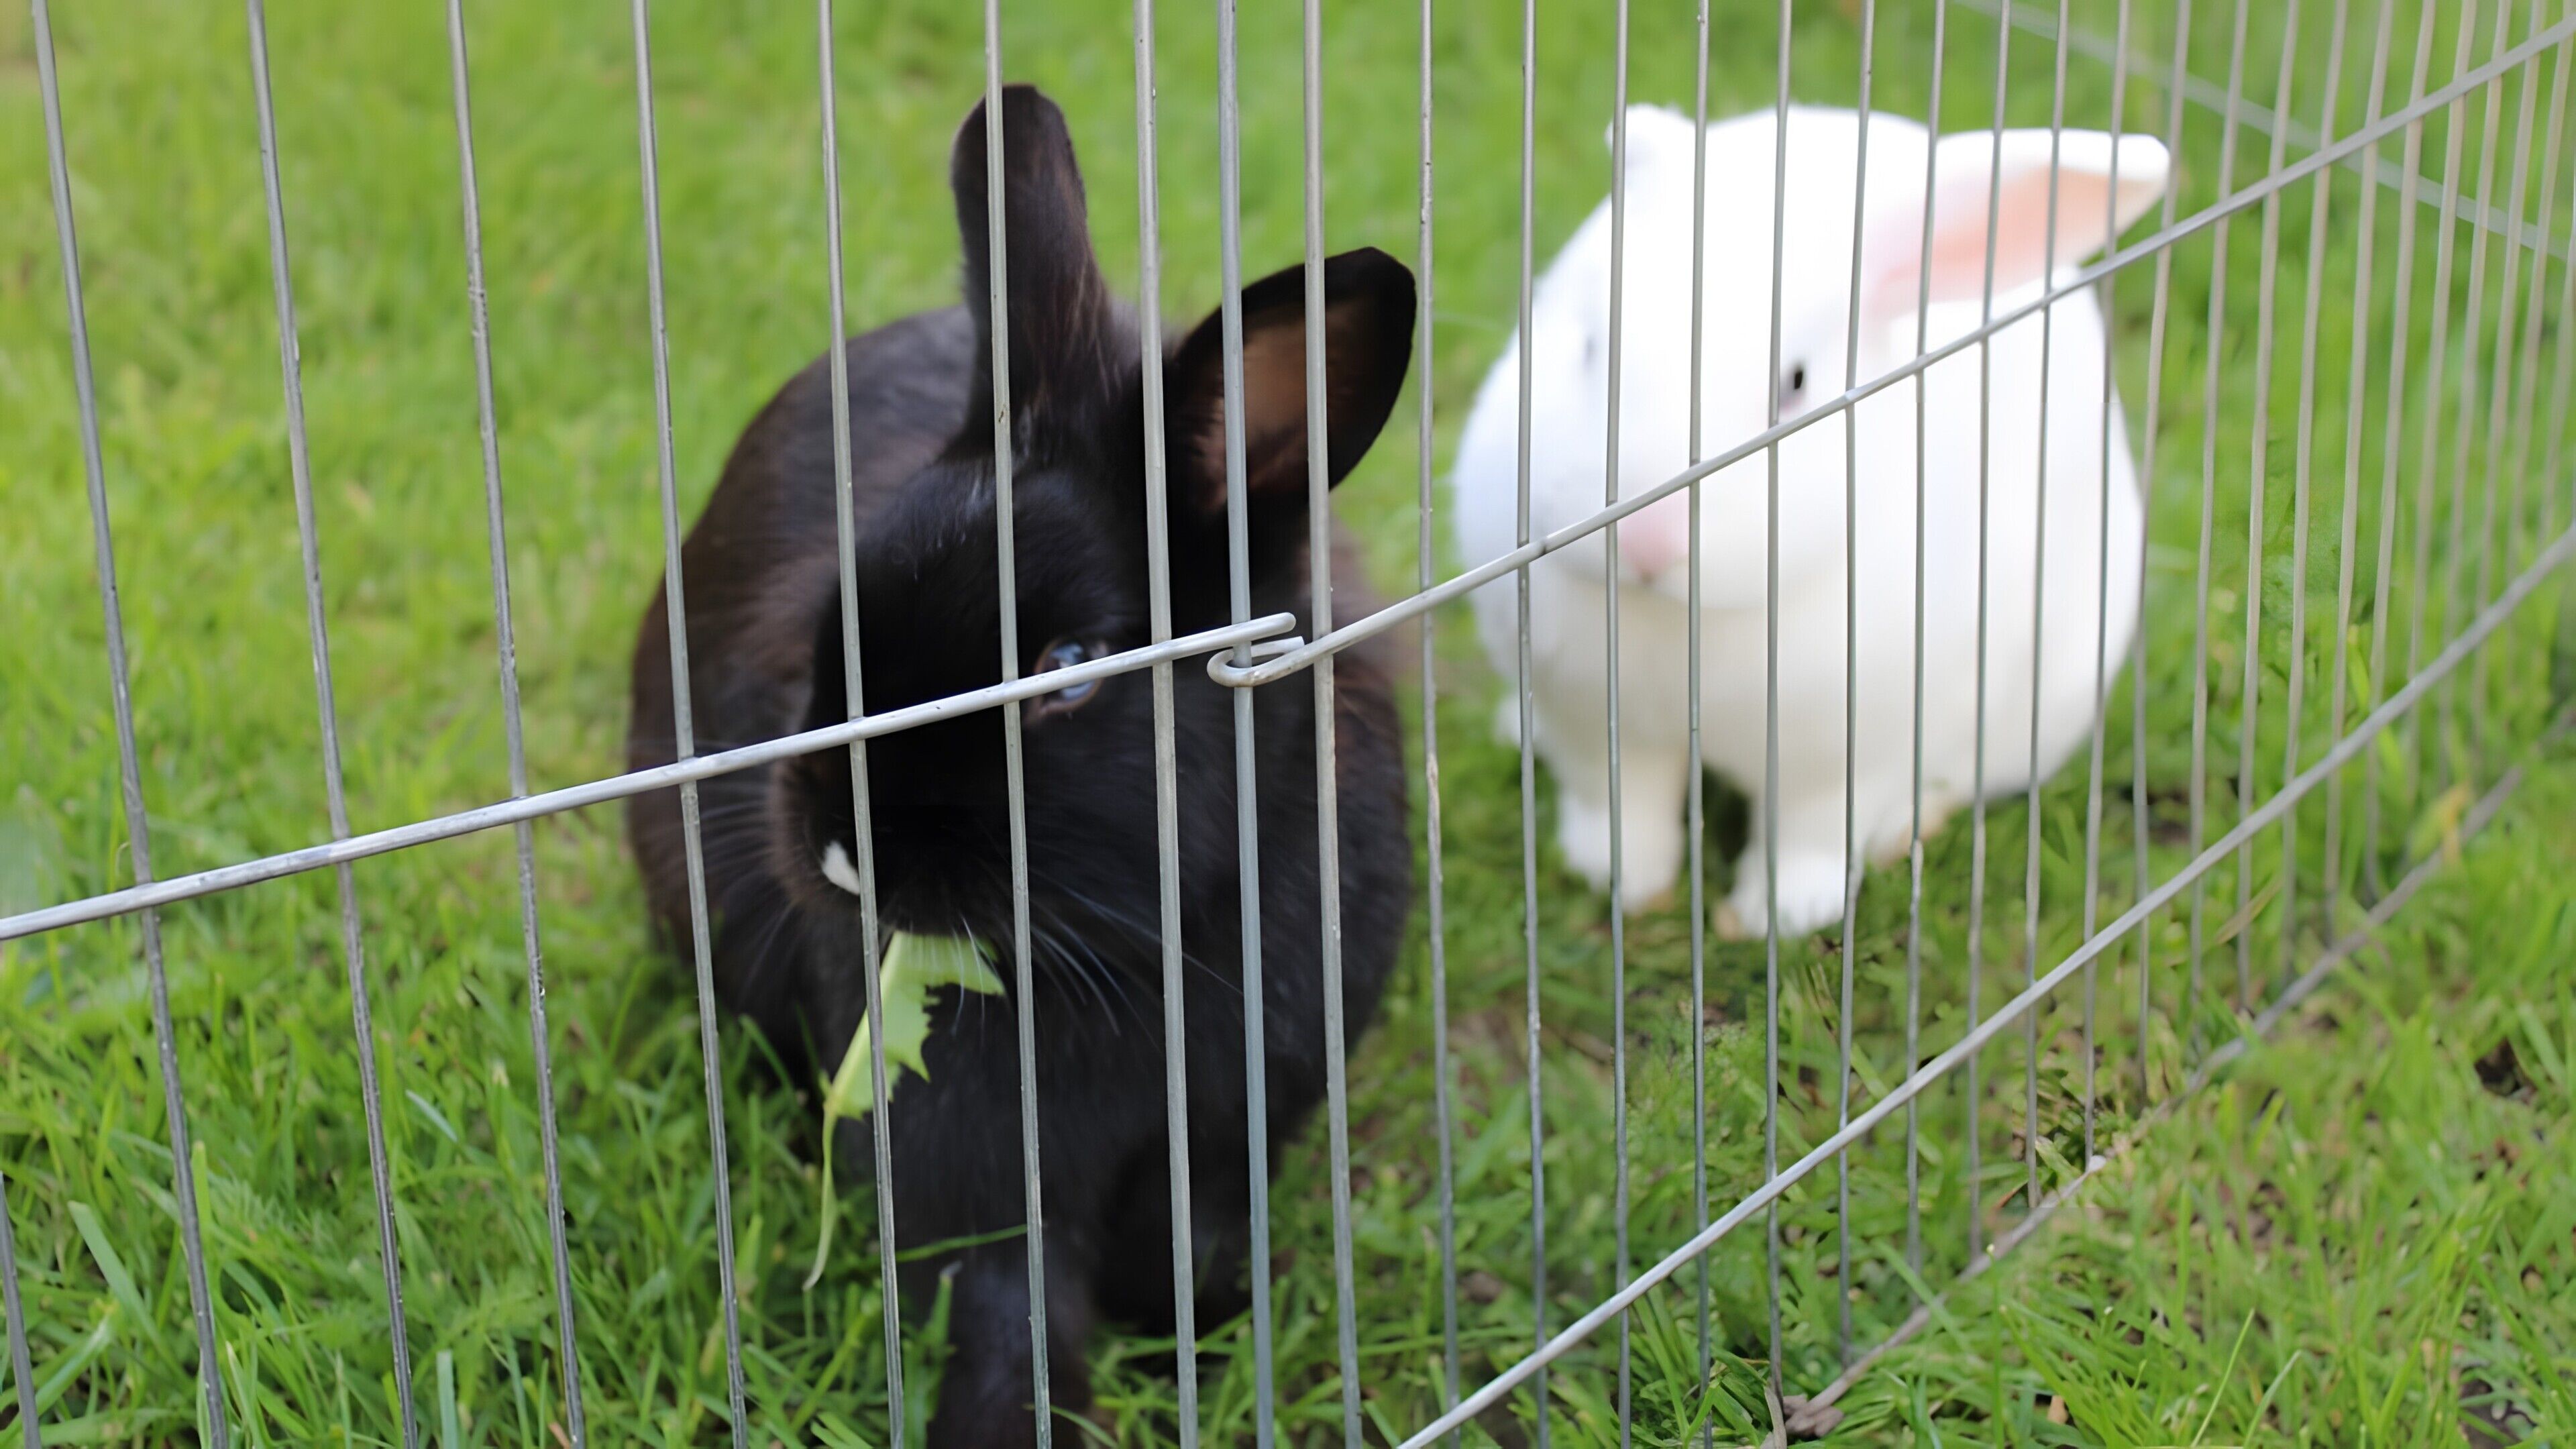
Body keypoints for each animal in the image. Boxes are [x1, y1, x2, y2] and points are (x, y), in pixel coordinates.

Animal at [626, 85, 1415, 1449]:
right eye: (841, 613)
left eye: (1070, 669)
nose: (841, 846)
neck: (1132, 948)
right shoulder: (971, 1172)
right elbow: (1008, 1315)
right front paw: (1012, 1422)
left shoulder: (1235, 1129)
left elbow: (1194, 1252)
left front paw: (1210, 1340)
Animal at [1449, 105, 2167, 938]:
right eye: (1592, 348)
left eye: (1794, 383)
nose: (1649, 536)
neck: (1678, 618)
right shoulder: (1592, 726)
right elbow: (1617, 808)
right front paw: (1622, 882)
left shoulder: (1845, 752)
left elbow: (1810, 836)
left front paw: (1779, 916)